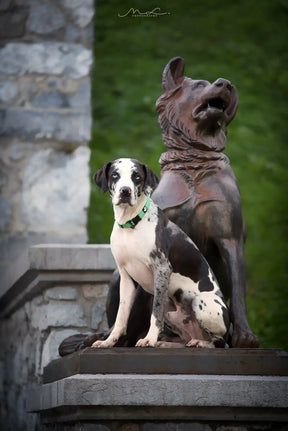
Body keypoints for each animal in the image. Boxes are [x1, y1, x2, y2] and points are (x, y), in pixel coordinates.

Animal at [92, 158, 230, 348]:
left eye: (136, 176)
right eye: (115, 175)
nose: (125, 191)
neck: (131, 225)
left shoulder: (162, 269)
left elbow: (155, 314)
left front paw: (149, 339)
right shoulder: (126, 277)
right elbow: (121, 316)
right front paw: (109, 341)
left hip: (201, 302)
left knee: (219, 342)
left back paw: (200, 343)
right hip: (170, 309)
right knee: (184, 340)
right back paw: (168, 343)